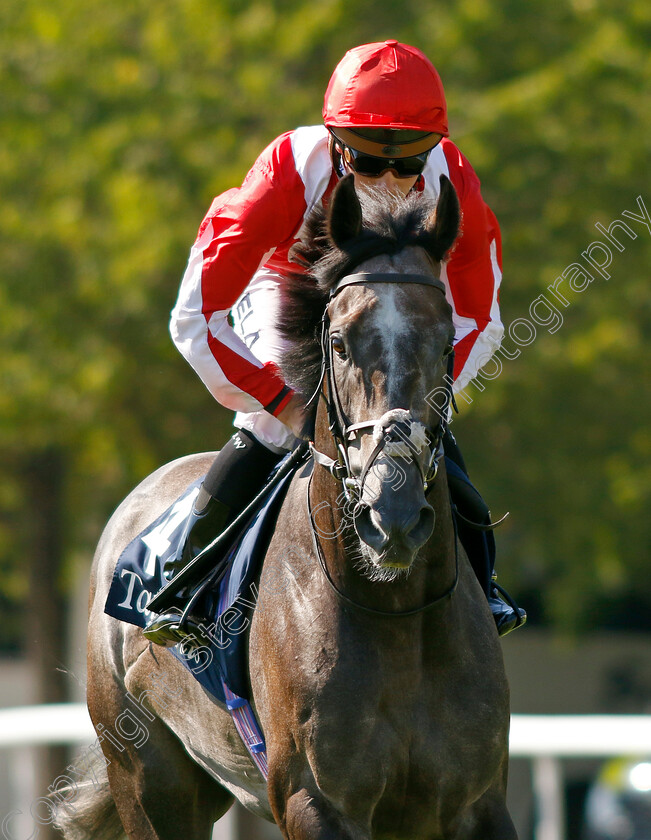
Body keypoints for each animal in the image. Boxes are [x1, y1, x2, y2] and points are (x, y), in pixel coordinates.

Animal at [53, 174, 516, 836]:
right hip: (148, 779)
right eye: (340, 342)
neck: (396, 615)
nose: (394, 517)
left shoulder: (477, 803)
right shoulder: (314, 802)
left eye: (446, 338)